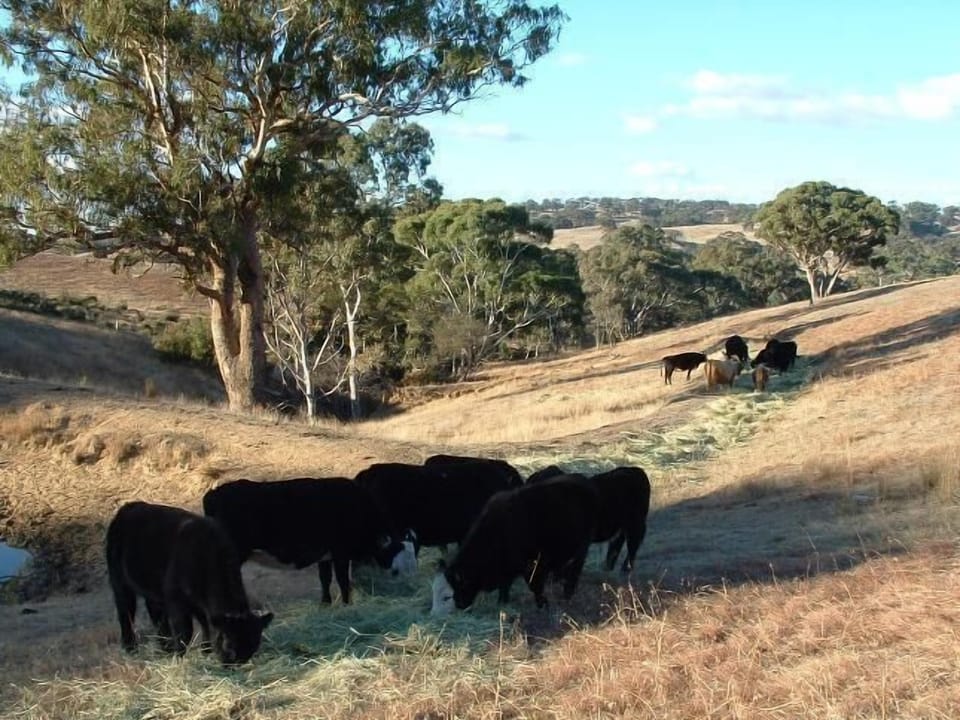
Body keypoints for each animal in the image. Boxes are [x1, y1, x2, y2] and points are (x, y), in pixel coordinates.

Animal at [106, 501, 273, 665]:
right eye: (229, 644)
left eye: (253, 646)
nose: (235, 663)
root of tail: (127, 507)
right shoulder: (176, 601)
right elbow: (185, 631)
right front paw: (180, 656)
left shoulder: (199, 604)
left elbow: (205, 625)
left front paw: (206, 650)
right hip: (119, 581)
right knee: (125, 611)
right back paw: (131, 647)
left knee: (155, 612)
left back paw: (165, 646)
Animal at [202, 477, 414, 605]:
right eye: (399, 552)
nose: (408, 576)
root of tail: (213, 494)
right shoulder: (340, 554)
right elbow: (343, 581)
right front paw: (346, 604)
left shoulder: (325, 556)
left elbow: (325, 579)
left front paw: (325, 603)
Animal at [431, 475, 598, 614]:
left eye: (447, 596)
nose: (434, 615)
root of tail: (582, 480)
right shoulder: (506, 569)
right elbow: (505, 586)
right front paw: (502, 603)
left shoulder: (533, 567)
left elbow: (534, 587)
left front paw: (543, 605)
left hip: (582, 549)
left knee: (575, 571)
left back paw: (567, 594)